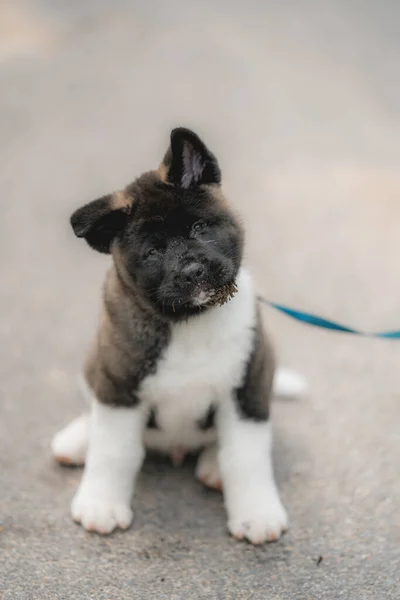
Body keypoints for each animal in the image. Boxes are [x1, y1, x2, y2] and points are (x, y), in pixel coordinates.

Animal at [52, 129, 304, 548]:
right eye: (153, 252)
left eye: (199, 228)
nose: (193, 271)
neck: (188, 323)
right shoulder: (119, 387)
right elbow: (113, 451)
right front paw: (101, 505)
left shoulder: (248, 387)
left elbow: (246, 457)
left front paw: (256, 513)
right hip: (94, 367)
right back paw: (76, 439)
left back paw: (213, 465)